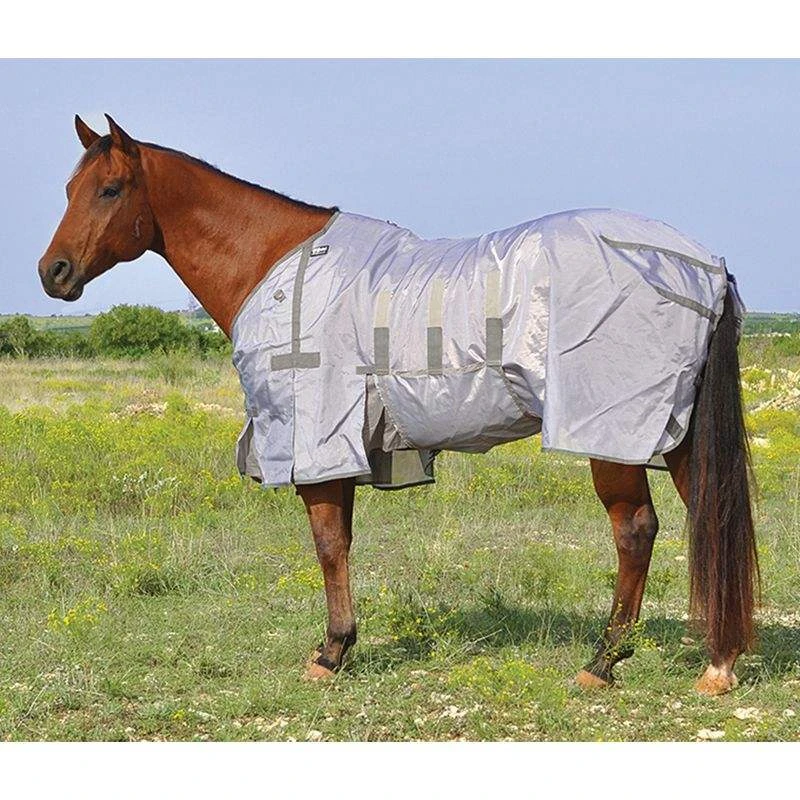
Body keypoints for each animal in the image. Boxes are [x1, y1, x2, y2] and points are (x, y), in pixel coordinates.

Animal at [38, 115, 757, 695]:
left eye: (110, 189)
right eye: (68, 190)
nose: (54, 273)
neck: (275, 268)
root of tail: (704, 265)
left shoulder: (318, 441)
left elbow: (329, 543)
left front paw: (330, 653)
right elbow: (341, 539)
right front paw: (338, 646)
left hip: (613, 430)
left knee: (635, 532)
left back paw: (606, 662)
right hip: (678, 433)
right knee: (707, 515)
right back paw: (716, 661)